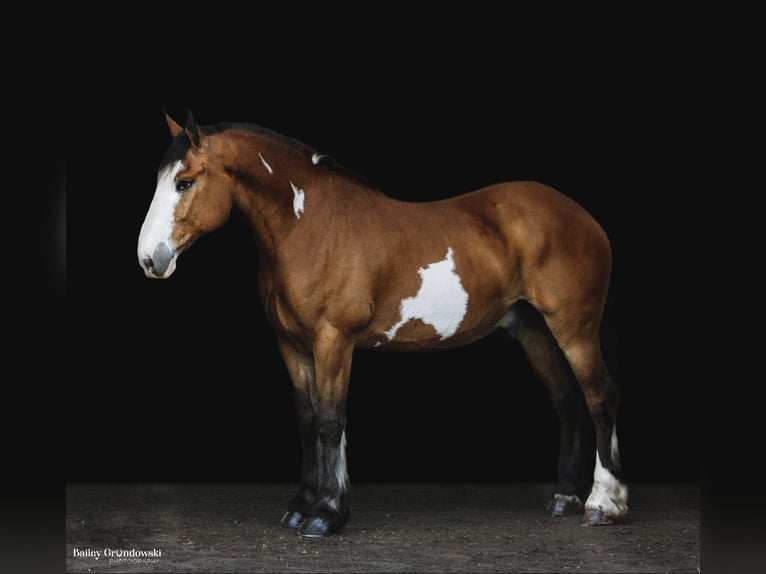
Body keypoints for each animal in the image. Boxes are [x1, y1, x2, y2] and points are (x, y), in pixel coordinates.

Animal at [138, 112, 632, 540]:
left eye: (185, 182)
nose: (149, 259)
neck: (310, 227)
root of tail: (584, 218)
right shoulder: (293, 345)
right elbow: (306, 421)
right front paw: (302, 506)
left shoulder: (333, 340)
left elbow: (330, 422)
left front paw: (325, 515)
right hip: (533, 331)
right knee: (567, 402)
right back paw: (564, 498)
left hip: (575, 329)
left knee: (600, 398)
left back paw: (603, 504)